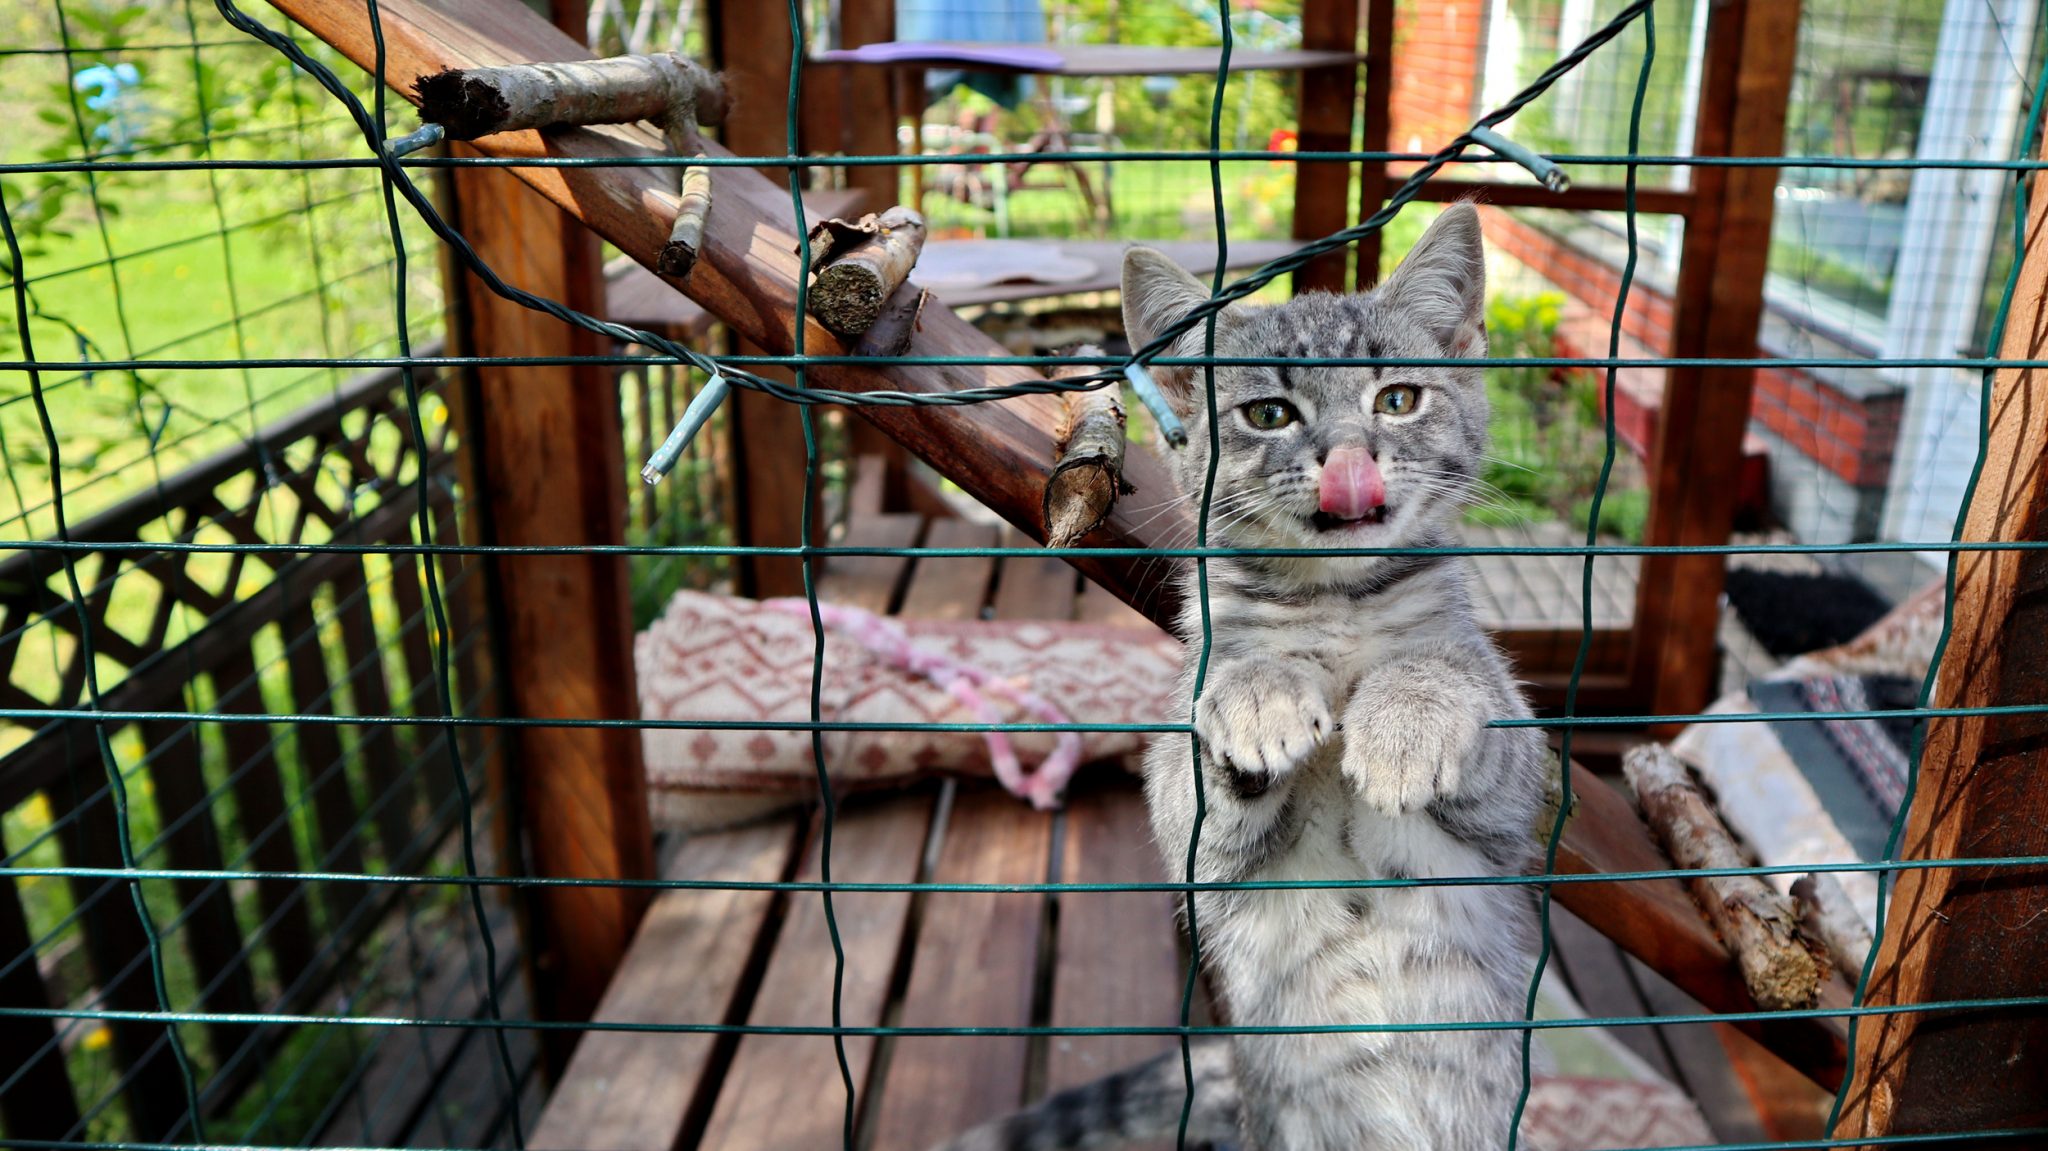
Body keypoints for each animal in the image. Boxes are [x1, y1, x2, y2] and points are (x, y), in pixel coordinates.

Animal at [925, 205, 1540, 1146]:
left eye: (1398, 399)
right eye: (1269, 412)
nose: (1348, 459)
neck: (1334, 608)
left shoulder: (1516, 795)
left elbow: (1455, 673)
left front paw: (1407, 722)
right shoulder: (1192, 826)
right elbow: (1200, 774)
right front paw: (1257, 698)